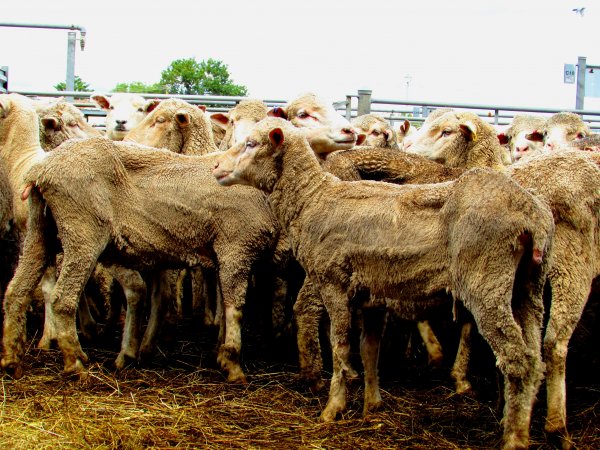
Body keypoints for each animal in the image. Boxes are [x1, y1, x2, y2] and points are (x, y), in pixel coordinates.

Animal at [213, 117, 556, 450]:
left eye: (251, 143)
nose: (216, 166)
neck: (312, 200)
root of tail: (532, 216)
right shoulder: (372, 297)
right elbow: (369, 350)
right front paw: (372, 406)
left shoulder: (335, 285)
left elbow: (340, 348)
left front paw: (333, 407)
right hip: (528, 288)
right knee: (535, 360)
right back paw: (517, 420)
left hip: (487, 283)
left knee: (518, 360)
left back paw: (515, 437)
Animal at [404, 108, 600, 446]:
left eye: (446, 131)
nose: (406, 148)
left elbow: (470, 326)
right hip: (571, 265)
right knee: (553, 342)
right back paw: (555, 425)